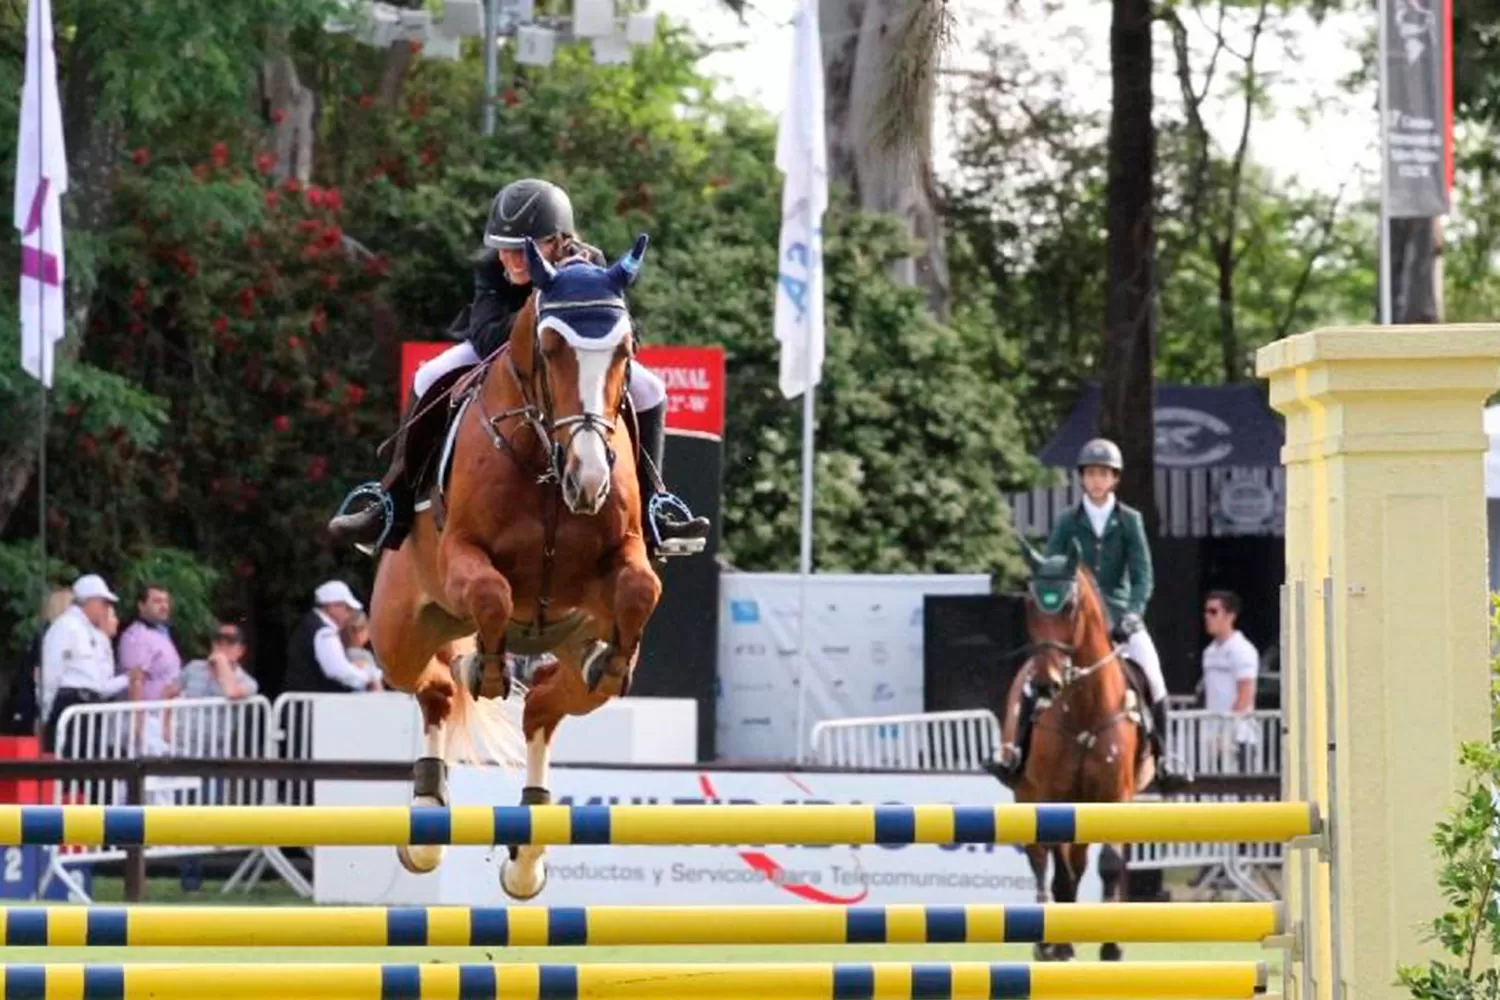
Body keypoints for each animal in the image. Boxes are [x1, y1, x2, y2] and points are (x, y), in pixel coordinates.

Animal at [366, 235, 660, 899]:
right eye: (550, 349)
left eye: (624, 351)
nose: (589, 480)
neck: (547, 462)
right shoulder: (462, 556)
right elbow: (493, 595)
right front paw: (488, 665)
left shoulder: (624, 553)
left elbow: (640, 586)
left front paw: (616, 659)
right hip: (399, 631)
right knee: (437, 688)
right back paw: (426, 816)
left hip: (567, 650)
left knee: (544, 707)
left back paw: (526, 854)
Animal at [1002, 542, 1152, 965]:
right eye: (1029, 605)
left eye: (1069, 606)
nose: (1045, 684)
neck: (1085, 708)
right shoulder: (1052, 796)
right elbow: (1061, 871)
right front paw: (1062, 946)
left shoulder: (1115, 796)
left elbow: (1110, 864)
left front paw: (1112, 946)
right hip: (1027, 795)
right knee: (1040, 860)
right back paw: (1045, 944)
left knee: (1081, 860)